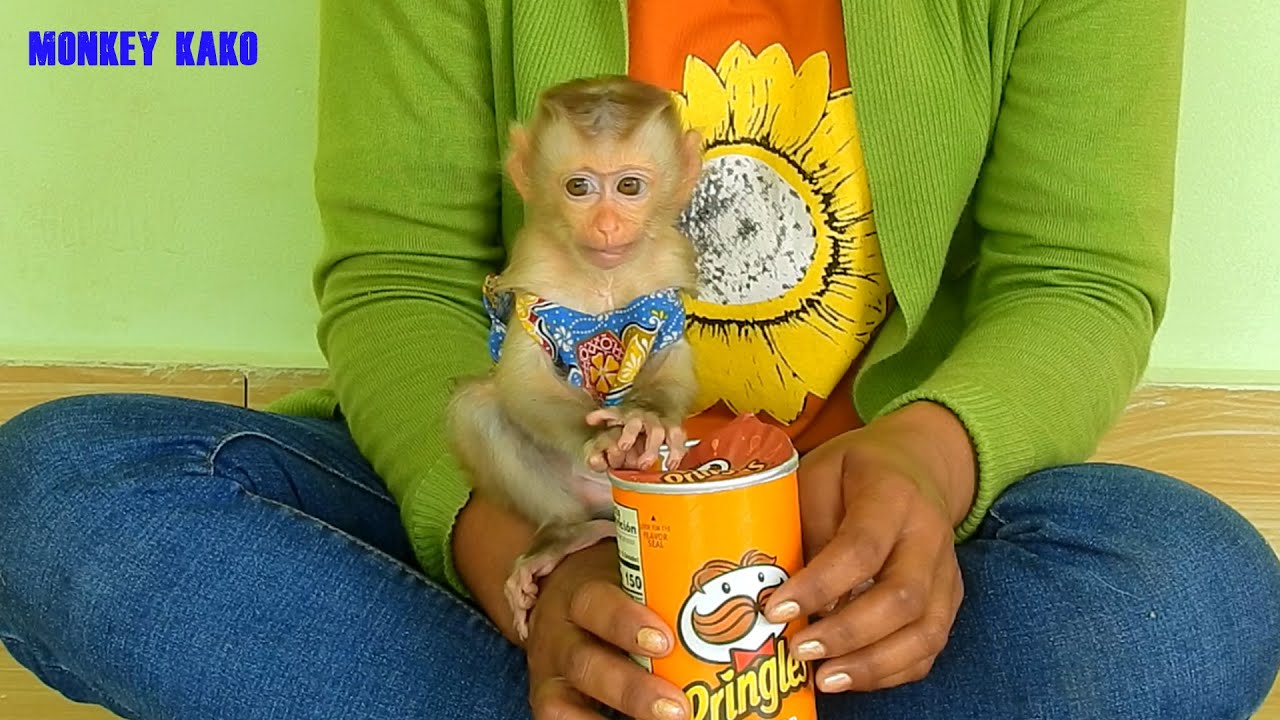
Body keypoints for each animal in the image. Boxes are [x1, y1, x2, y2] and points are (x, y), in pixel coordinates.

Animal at [445, 75, 705, 641]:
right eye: (579, 188)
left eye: (628, 187)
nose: (606, 225)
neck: (603, 278)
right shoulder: (536, 278)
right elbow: (523, 383)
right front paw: (602, 438)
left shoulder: (665, 274)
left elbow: (671, 364)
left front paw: (647, 417)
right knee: (477, 406)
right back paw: (562, 534)